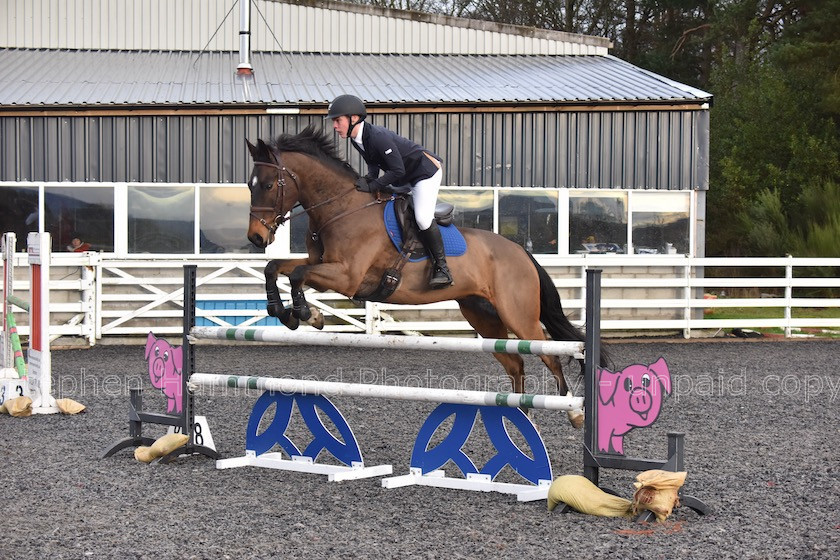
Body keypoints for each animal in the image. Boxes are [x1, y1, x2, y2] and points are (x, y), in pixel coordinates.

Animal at [244, 124, 604, 426]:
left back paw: (573, 413)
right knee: (516, 363)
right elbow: (277, 268)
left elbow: (298, 274)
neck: (341, 208)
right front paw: (284, 312)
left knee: (551, 355)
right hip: (483, 317)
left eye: (268, 185)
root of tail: (520, 252)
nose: (256, 238)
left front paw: (308, 315)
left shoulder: (348, 277)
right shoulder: (323, 263)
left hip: (519, 315)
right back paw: (519, 415)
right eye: (250, 185)